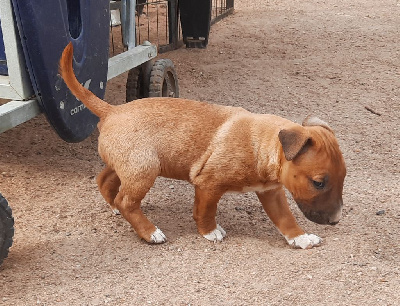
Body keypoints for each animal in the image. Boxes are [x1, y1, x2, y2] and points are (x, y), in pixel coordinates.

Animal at [60, 43, 346, 249]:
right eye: (318, 183)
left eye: (343, 178)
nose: (335, 221)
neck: (260, 143)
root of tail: (112, 111)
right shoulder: (209, 184)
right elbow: (206, 211)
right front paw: (210, 232)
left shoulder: (271, 192)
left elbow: (285, 217)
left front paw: (300, 238)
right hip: (144, 169)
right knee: (127, 200)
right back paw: (150, 232)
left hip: (131, 164)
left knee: (106, 180)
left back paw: (114, 207)